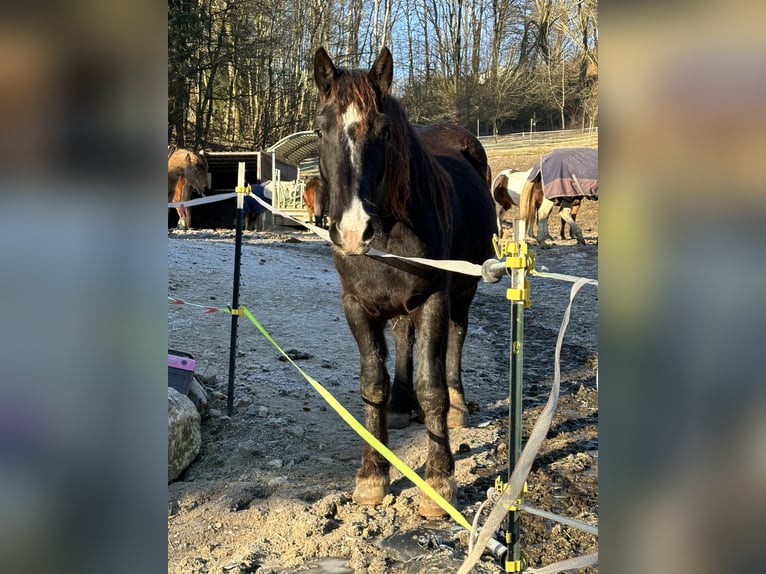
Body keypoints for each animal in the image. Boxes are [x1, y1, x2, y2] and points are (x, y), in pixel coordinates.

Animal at [314, 47, 498, 520]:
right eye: (320, 129)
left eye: (384, 130)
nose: (353, 231)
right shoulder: (357, 305)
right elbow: (371, 385)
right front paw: (372, 474)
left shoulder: (433, 298)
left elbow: (431, 389)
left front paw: (439, 480)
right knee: (401, 336)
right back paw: (400, 405)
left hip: (462, 291)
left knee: (456, 338)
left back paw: (458, 406)